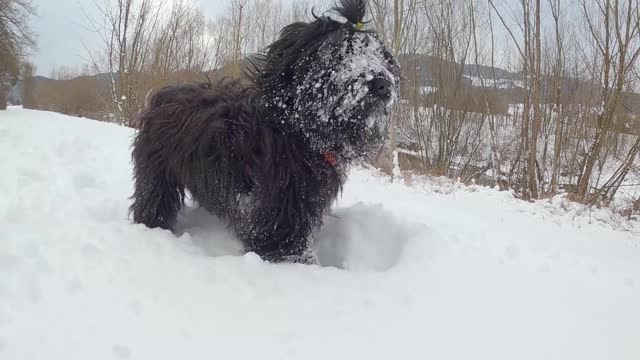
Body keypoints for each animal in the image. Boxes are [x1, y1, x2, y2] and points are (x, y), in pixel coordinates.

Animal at [130, 0, 400, 264]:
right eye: (339, 51)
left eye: (380, 55)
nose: (383, 84)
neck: (297, 131)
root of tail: (164, 94)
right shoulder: (279, 206)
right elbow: (283, 243)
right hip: (158, 170)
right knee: (154, 198)